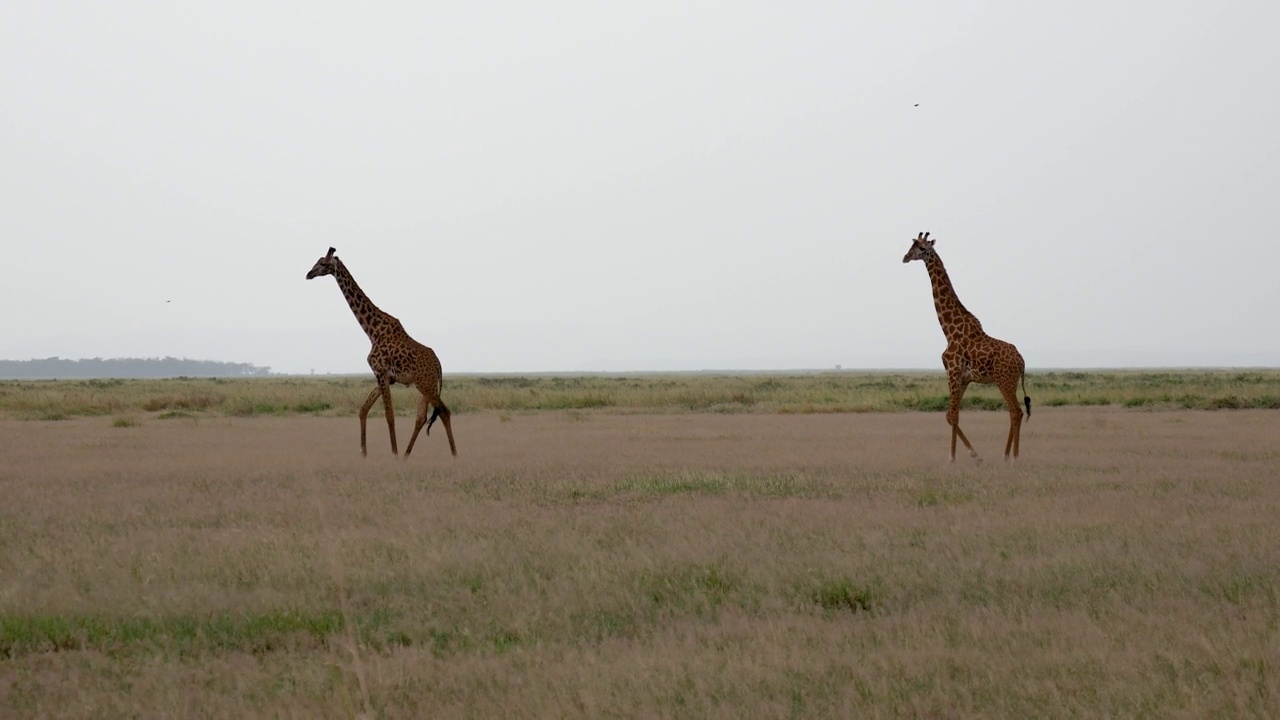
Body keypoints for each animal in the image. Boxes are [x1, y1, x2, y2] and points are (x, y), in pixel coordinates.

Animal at [303, 245, 455, 456]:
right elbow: (363, 409)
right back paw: (407, 455)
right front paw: (364, 453)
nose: (308, 274)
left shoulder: (381, 372)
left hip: (426, 385)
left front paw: (393, 454)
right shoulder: (384, 376)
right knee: (422, 417)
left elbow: (389, 415)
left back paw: (453, 455)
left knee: (444, 412)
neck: (371, 331)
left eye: (323, 263)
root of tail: (439, 365)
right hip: (423, 386)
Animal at [901, 233, 1029, 461]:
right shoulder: (963, 378)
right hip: (1010, 381)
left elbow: (952, 415)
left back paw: (1013, 458)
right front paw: (967, 455)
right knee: (1016, 411)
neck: (948, 330)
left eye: (922, 248)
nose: (905, 257)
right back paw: (1005, 455)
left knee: (1016, 411)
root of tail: (1022, 361)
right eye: (912, 245)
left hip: (1004, 380)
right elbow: (950, 414)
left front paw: (956, 457)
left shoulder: (952, 371)